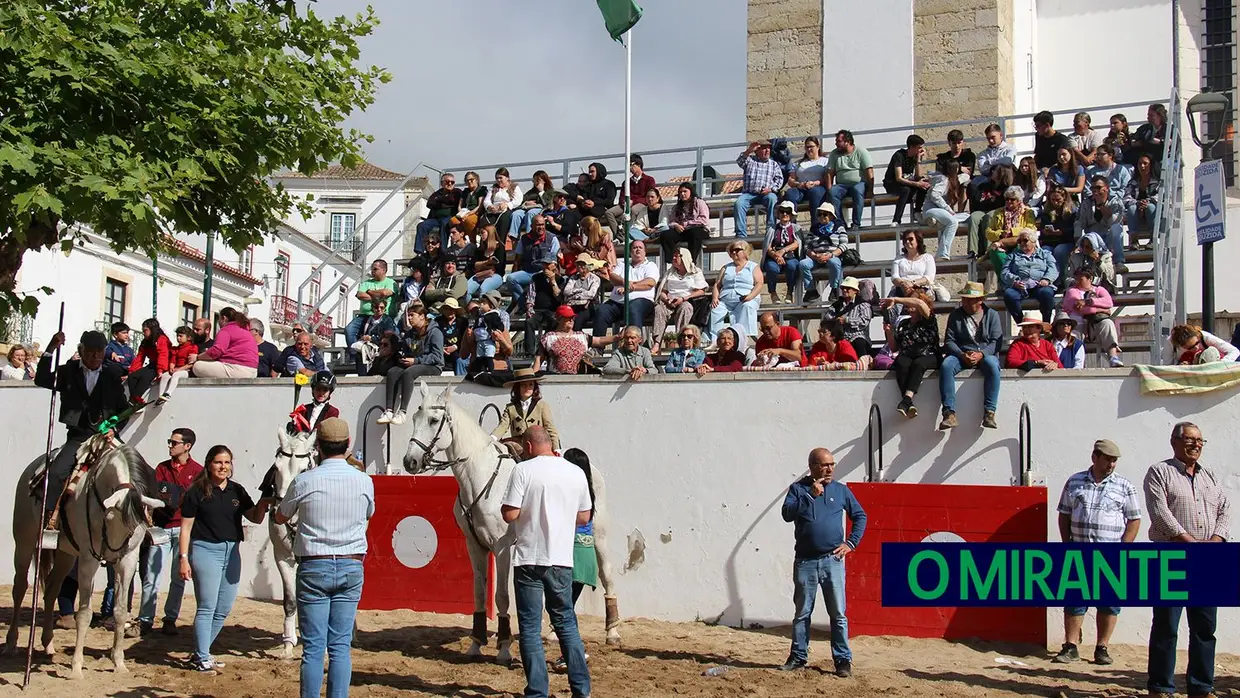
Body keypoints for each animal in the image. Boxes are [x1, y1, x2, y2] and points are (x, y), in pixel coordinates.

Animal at [4, 436, 164, 679]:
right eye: (110, 518)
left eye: (136, 525)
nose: (113, 554)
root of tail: (31, 472)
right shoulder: (89, 559)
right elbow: (84, 613)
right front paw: (76, 667)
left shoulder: (128, 560)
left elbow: (120, 611)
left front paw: (119, 663)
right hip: (25, 542)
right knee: (20, 588)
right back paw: (11, 643)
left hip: (66, 554)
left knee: (51, 589)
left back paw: (48, 645)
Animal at [404, 381, 624, 664]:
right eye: (414, 418)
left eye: (433, 420)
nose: (410, 461)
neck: (481, 476)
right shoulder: (474, 545)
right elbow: (479, 593)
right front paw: (476, 643)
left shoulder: (501, 548)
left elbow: (501, 596)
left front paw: (504, 648)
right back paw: (553, 633)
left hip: (599, 534)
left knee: (606, 573)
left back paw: (613, 632)